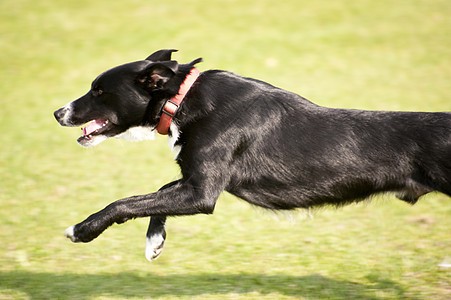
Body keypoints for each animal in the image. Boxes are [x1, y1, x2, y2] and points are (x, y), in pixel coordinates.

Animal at [55, 49, 451, 260]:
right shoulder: (197, 181)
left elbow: (126, 202)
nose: (58, 113)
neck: (181, 99)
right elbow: (156, 193)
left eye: (99, 91)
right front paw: (155, 242)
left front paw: (81, 230)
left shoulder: (200, 194)